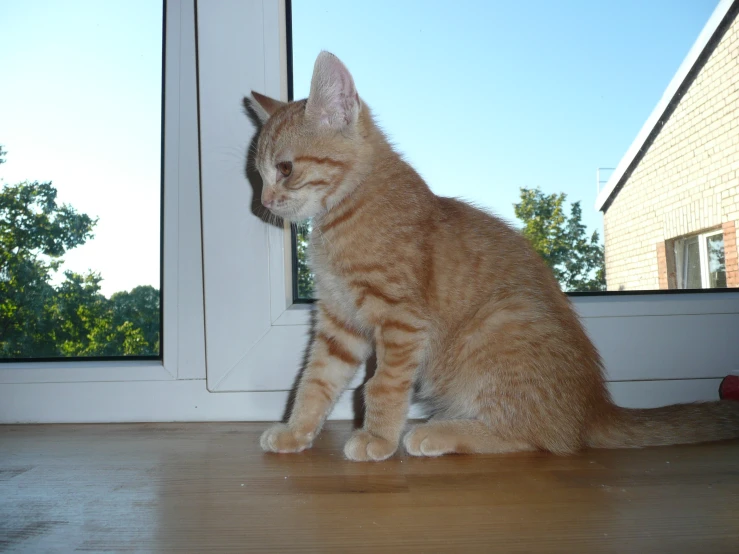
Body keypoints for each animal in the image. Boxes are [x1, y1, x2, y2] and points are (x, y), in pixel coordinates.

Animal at [250, 51, 739, 460]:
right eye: (258, 174)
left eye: (285, 169)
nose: (265, 202)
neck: (344, 211)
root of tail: (593, 407)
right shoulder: (339, 321)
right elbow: (315, 380)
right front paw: (296, 431)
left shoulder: (401, 320)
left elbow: (383, 385)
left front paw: (377, 437)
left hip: (498, 324)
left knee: (541, 439)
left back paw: (439, 432)